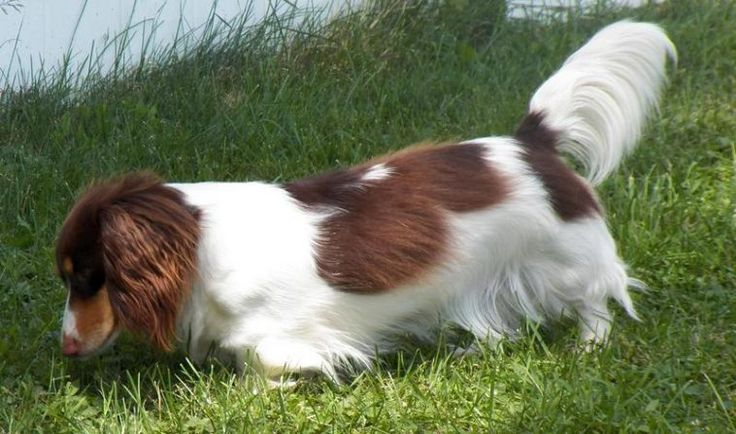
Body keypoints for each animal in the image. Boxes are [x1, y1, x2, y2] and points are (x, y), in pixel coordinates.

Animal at [57, 20, 676, 384]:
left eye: (88, 277)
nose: (64, 347)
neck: (197, 242)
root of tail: (530, 143)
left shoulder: (280, 332)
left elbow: (264, 365)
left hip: (566, 260)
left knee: (595, 299)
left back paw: (588, 348)